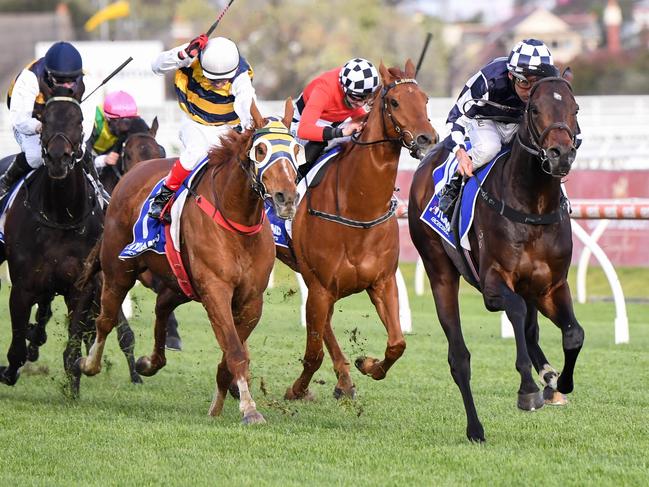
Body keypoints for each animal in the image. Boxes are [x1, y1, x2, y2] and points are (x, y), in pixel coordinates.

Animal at [0, 96, 140, 396]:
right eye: (45, 118)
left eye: (79, 121)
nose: (57, 158)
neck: (60, 216)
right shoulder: (23, 286)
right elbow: (16, 347)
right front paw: (9, 370)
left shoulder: (83, 286)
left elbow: (75, 345)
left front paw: (73, 387)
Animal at [78, 99, 298, 424]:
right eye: (261, 150)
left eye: (296, 149)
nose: (287, 198)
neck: (237, 220)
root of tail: (131, 175)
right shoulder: (216, 290)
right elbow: (235, 351)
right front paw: (249, 409)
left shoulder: (251, 300)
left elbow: (232, 353)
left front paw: (219, 404)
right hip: (119, 269)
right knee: (105, 318)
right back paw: (89, 364)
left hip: (179, 283)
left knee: (161, 308)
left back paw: (149, 362)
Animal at [278, 61, 436, 402]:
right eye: (395, 102)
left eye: (425, 99)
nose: (427, 139)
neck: (358, 209)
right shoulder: (321, 287)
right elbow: (312, 354)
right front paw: (297, 389)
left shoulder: (382, 282)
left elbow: (397, 343)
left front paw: (367, 365)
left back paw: (345, 380)